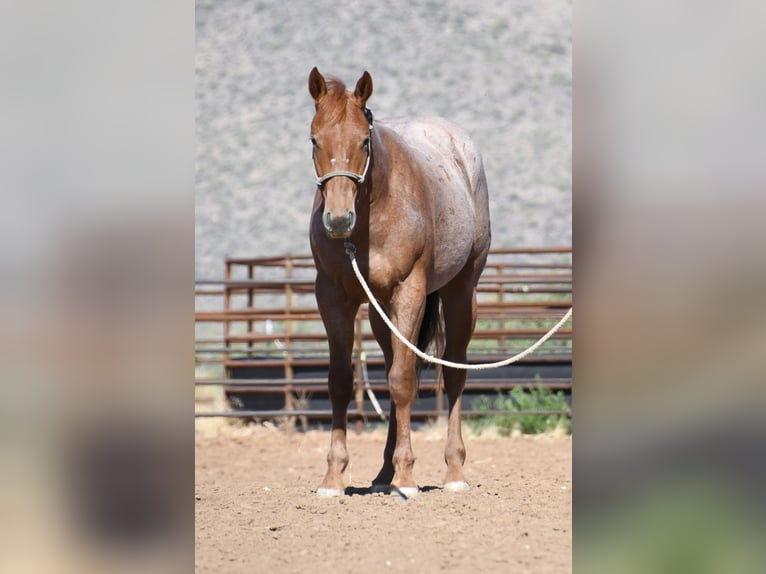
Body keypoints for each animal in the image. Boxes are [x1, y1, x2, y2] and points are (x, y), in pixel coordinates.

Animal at [308, 67, 491, 498]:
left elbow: (405, 381)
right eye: (314, 139)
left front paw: (407, 477)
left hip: (462, 294)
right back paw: (382, 475)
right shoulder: (332, 297)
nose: (338, 219)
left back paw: (453, 472)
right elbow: (342, 381)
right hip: (380, 313)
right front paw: (333, 477)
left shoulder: (410, 292)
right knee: (393, 369)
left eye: (363, 140)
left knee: (453, 373)